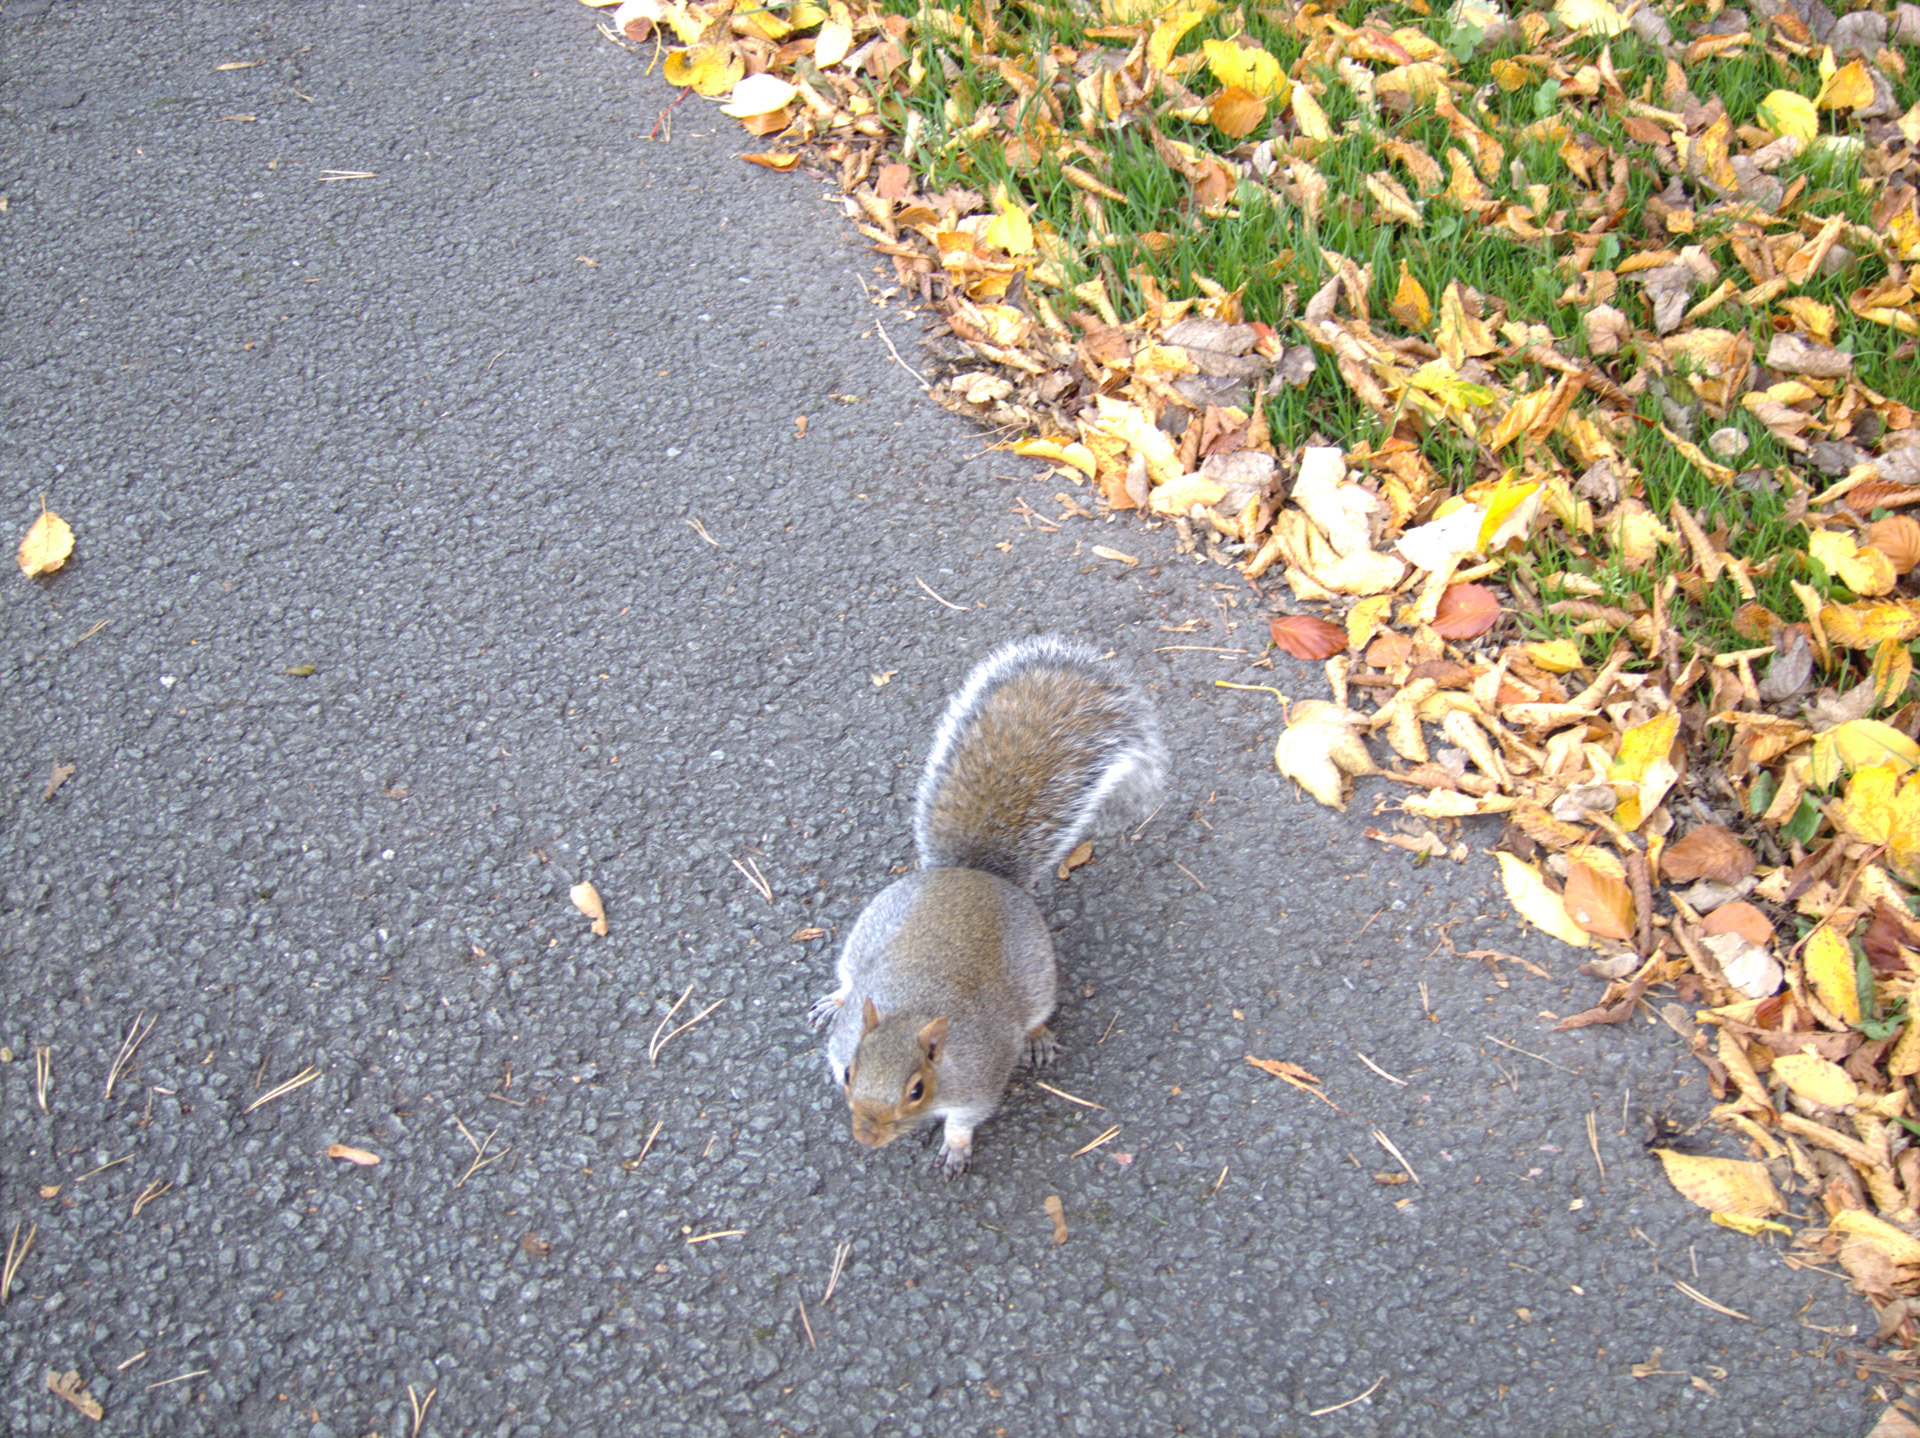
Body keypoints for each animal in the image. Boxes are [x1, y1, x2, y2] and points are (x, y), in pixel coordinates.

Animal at [802, 633, 1159, 1174]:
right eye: (848, 1074)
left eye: (916, 1090)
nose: (865, 1137)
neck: (913, 1011)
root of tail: (975, 876)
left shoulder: (981, 1075)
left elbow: (966, 1117)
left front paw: (954, 1146)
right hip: (867, 934)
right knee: (850, 980)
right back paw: (836, 998)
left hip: (1037, 975)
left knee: (1037, 1012)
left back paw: (1036, 1038)